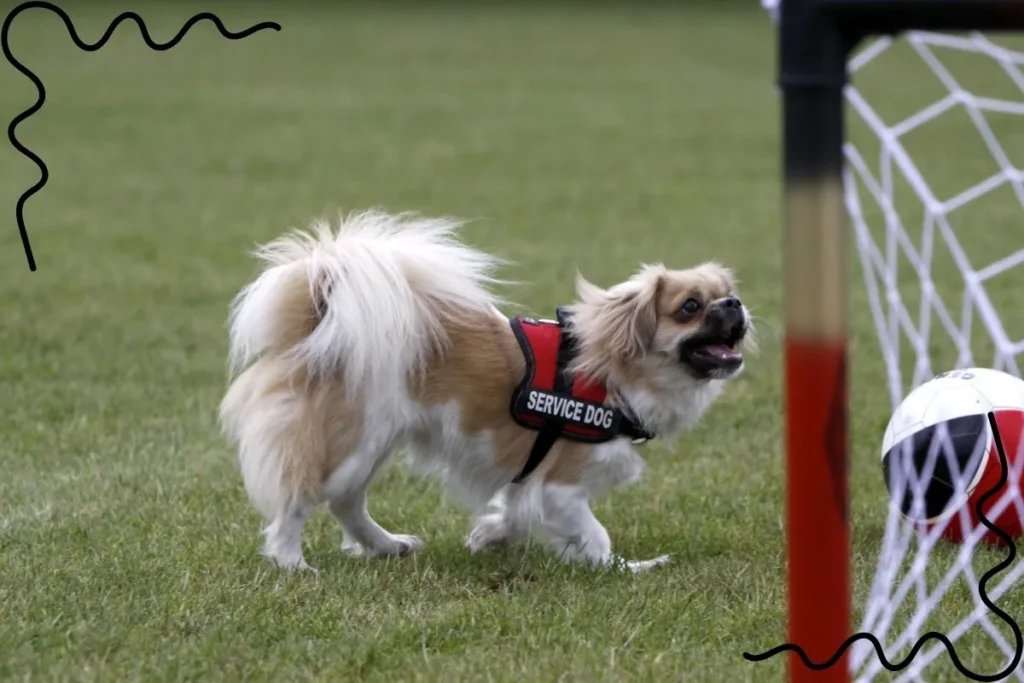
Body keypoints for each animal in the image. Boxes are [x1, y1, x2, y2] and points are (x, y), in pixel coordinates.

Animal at [220, 210, 753, 573]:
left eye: (729, 294)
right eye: (689, 307)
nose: (734, 304)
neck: (612, 371)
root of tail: (318, 324)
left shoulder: (534, 485)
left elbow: (518, 514)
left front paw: (488, 537)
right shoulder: (562, 488)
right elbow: (595, 539)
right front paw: (628, 570)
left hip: (374, 442)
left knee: (346, 504)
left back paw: (388, 546)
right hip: (349, 446)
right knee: (301, 499)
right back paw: (291, 563)